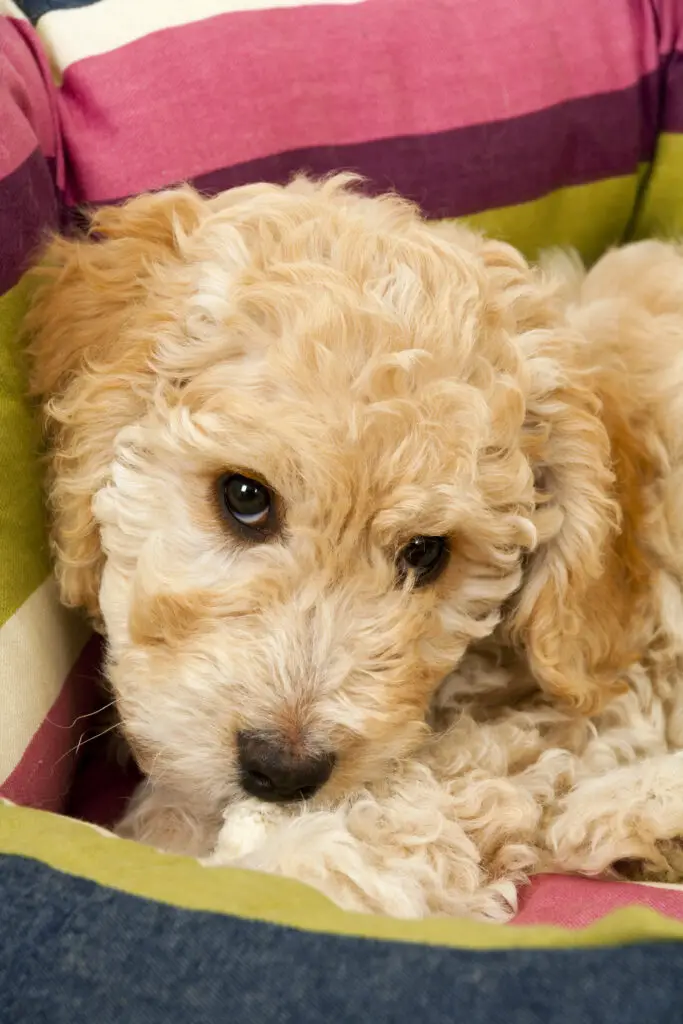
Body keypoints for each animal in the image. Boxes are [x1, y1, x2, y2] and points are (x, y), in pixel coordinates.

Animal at [26, 178, 683, 921]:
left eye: (427, 552)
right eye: (244, 496)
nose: (282, 771)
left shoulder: (600, 697)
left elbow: (433, 797)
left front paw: (279, 868)